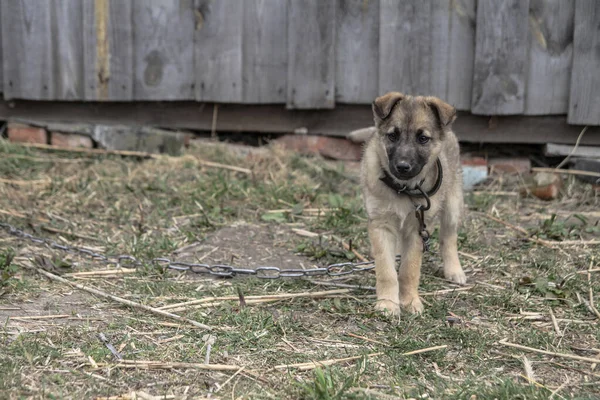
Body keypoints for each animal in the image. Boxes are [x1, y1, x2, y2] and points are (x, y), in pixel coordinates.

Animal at [358, 91, 466, 316]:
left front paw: (409, 301)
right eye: (393, 136)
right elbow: (386, 270)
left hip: (453, 204)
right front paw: (388, 303)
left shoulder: (418, 228)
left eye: (422, 138)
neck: (403, 189)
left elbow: (409, 269)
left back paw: (454, 270)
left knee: (449, 238)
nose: (402, 166)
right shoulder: (381, 225)